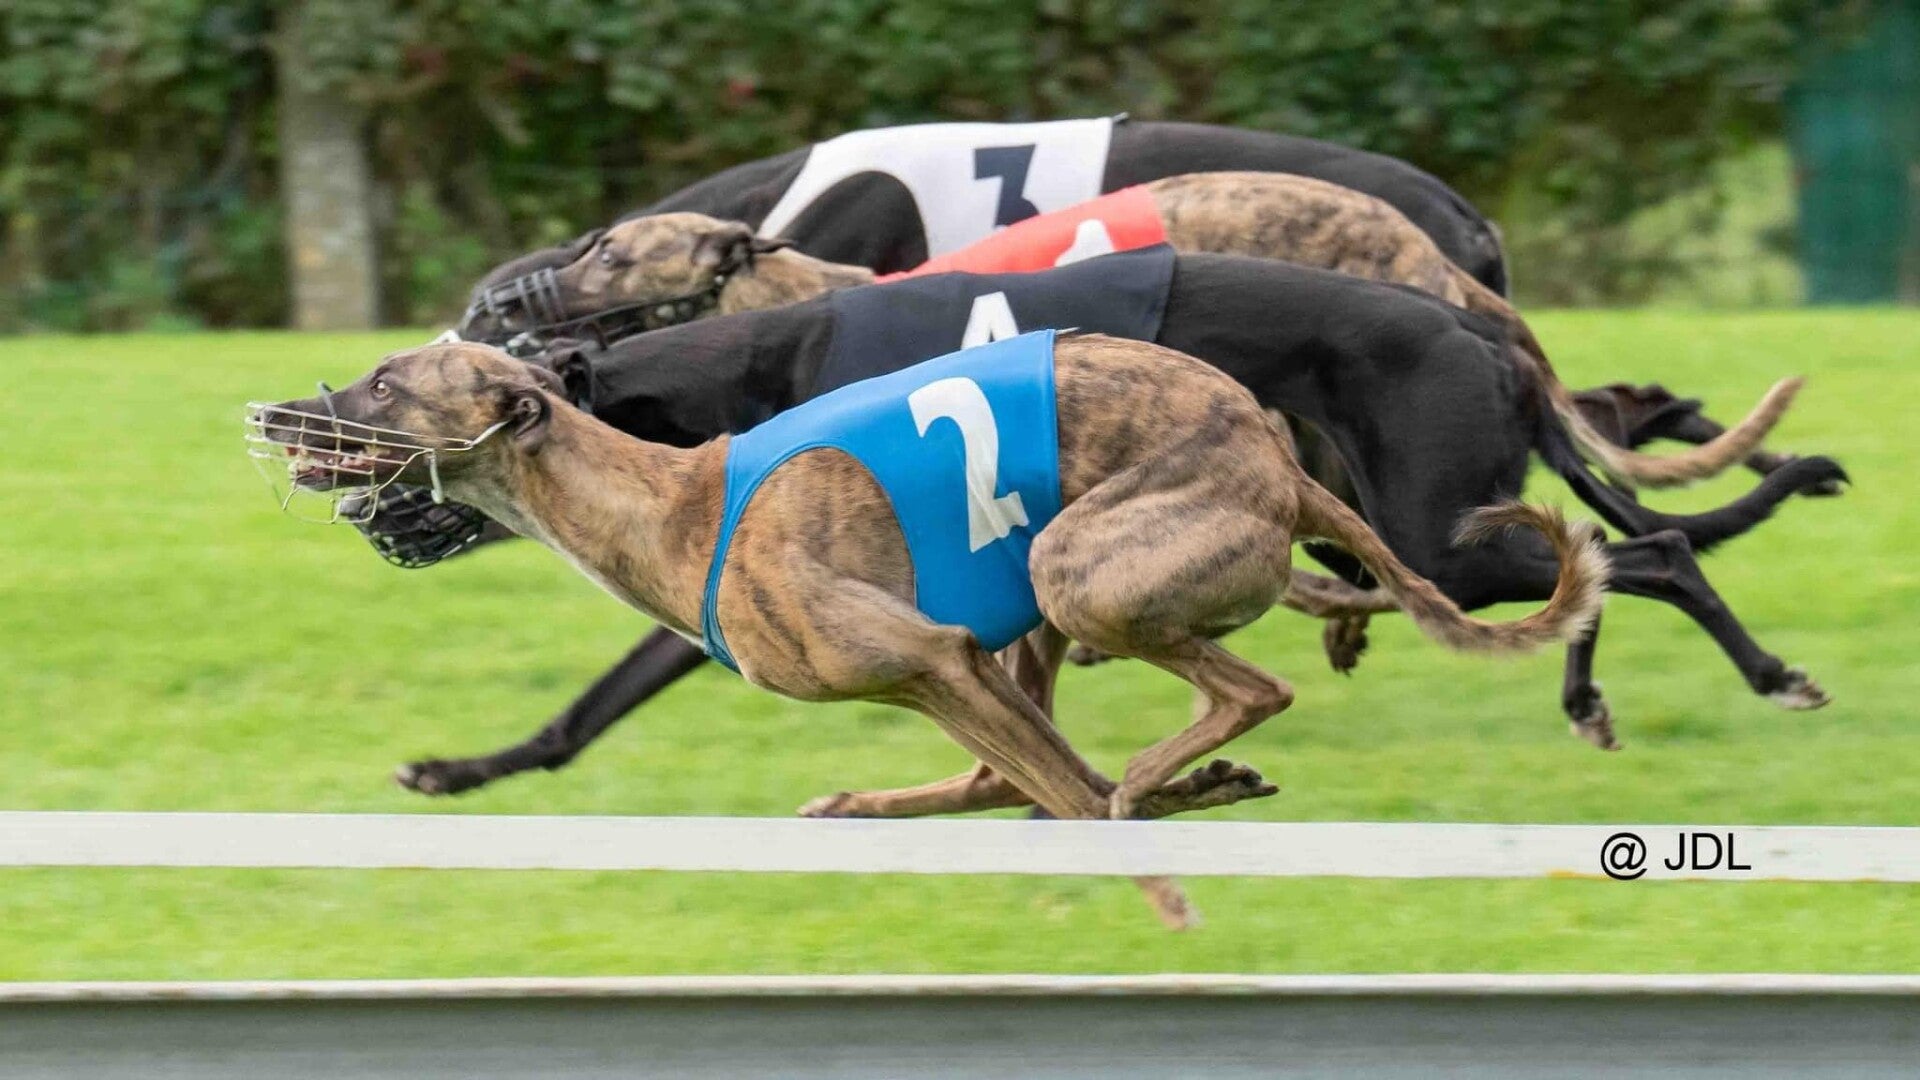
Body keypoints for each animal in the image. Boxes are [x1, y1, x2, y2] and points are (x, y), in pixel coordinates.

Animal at [254, 333, 1604, 926]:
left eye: (386, 385)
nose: (273, 415)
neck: (670, 504)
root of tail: (1275, 457)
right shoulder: (957, 667)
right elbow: (1032, 781)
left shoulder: (928, 660)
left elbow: (1062, 792)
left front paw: (1163, 891)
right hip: (1039, 613)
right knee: (1063, 758)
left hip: (1072, 570)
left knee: (1230, 700)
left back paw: (1168, 783)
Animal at [368, 250, 1842, 800]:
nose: (383, 520)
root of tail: (1486, 334)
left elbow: (607, 686)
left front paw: (466, 767)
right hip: (1384, 514)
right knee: (1597, 560)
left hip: (1425, 525)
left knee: (1641, 549)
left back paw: (1763, 674)